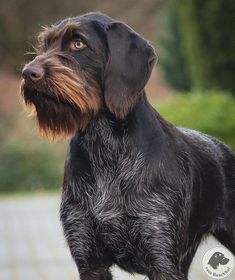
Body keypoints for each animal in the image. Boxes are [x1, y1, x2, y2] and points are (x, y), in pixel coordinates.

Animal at [20, 11, 235, 280]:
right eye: (45, 44)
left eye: (78, 43)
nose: (28, 73)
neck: (105, 146)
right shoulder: (88, 257)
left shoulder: (161, 254)